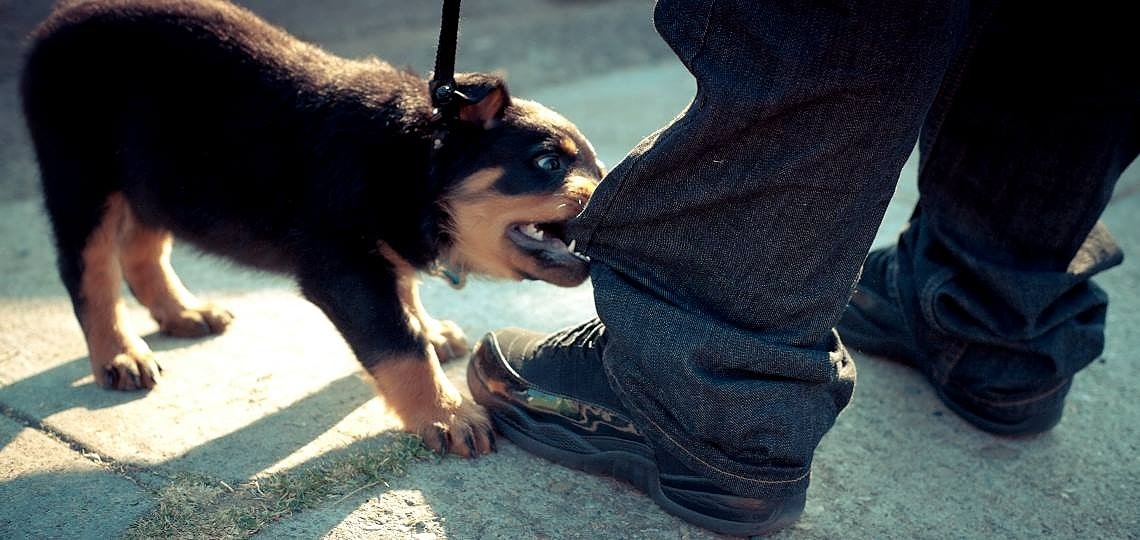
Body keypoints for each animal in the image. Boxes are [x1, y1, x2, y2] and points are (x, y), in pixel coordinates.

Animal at [20, 0, 606, 457]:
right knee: (89, 273)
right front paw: (446, 414)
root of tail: (56, 21)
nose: (610, 196)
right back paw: (119, 354)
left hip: (156, 180)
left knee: (142, 249)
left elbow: (405, 296)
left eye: (598, 168)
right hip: (82, 180)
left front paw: (432, 332)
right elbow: (398, 342)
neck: (407, 159)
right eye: (549, 162)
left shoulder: (380, 249)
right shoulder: (341, 265)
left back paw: (183, 313)